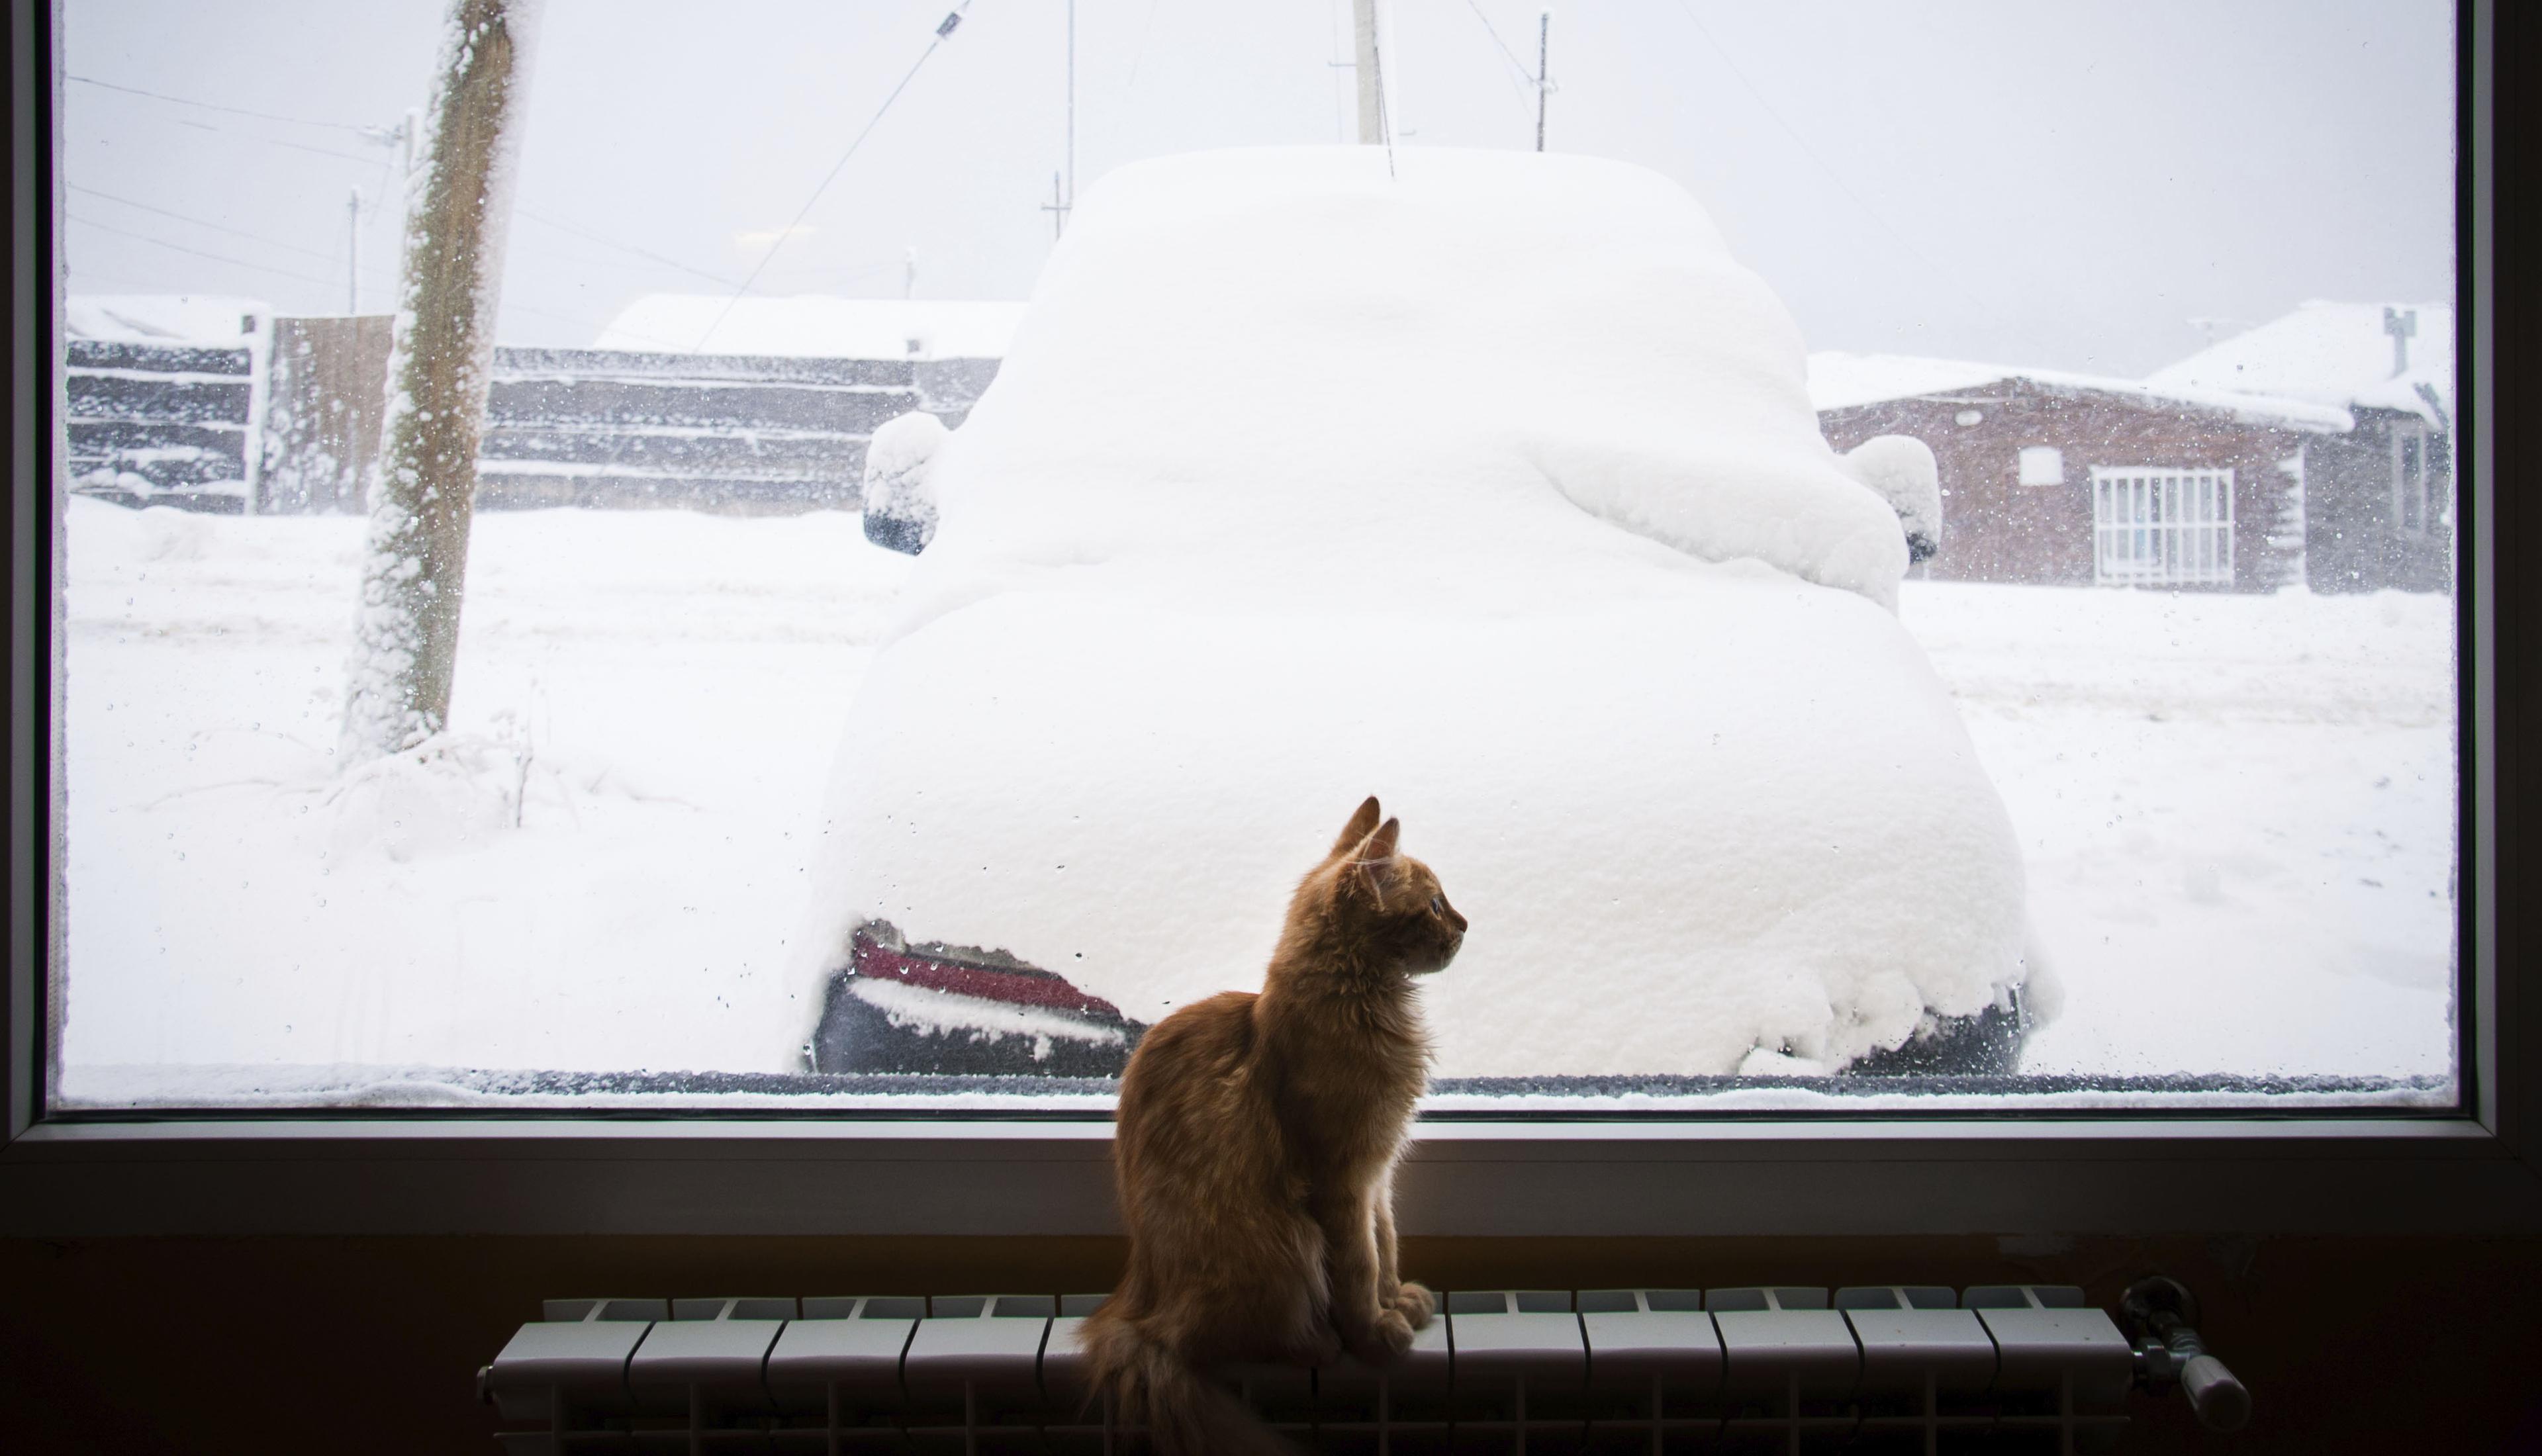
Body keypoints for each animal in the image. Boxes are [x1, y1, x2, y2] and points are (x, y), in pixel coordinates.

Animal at [1078, 803, 1474, 1443]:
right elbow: (1360, 1264)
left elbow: (1387, 1241)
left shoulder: (1378, 1175)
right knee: (1228, 1341)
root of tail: (1138, 1311)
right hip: (1288, 1241)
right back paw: (1318, 1344)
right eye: (1436, 905)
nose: (1466, 924)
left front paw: (1397, 1302)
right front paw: (1375, 1332)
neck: (1370, 1004)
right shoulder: (1342, 1178)